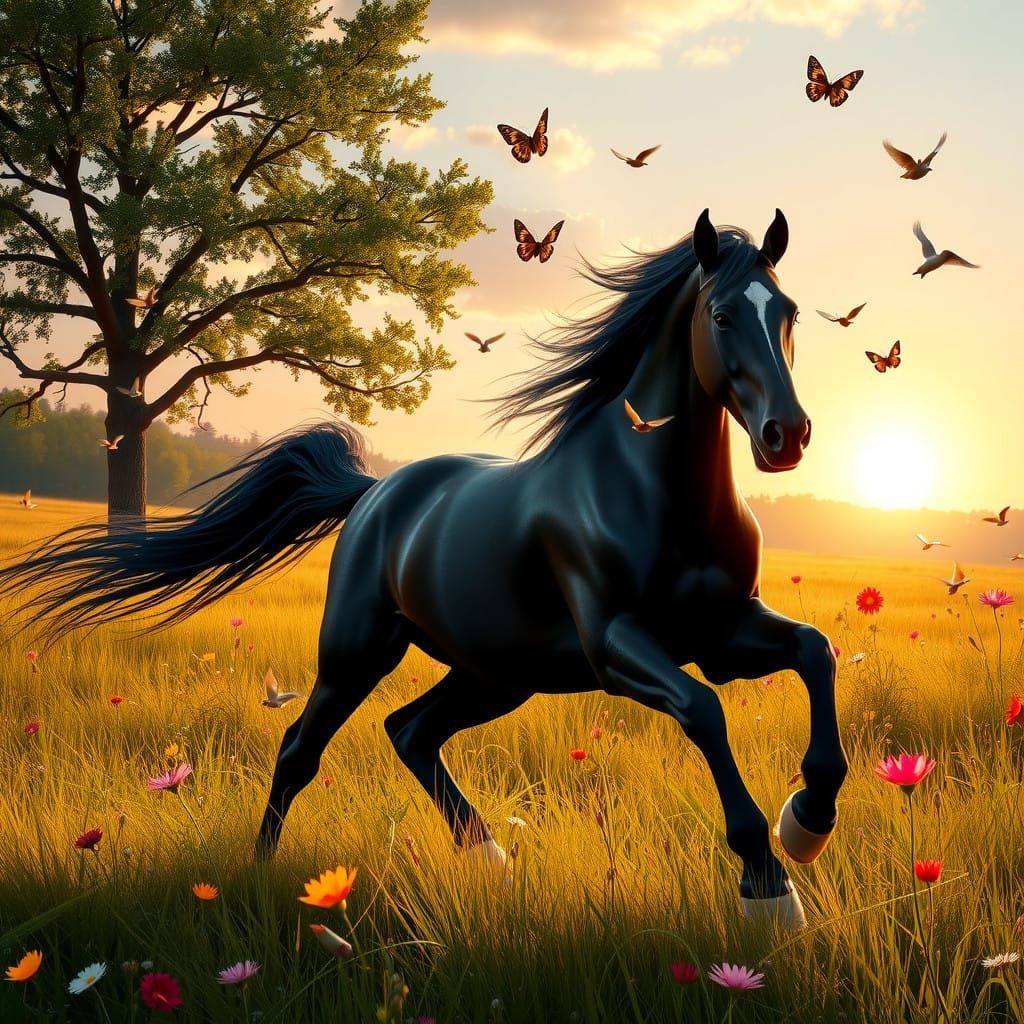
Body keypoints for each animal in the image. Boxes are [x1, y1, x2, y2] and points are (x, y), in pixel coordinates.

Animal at [2, 208, 847, 931]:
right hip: (357, 655)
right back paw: (259, 875)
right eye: (722, 315)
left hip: (498, 674)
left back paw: (488, 857)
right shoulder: (618, 644)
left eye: (788, 313)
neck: (651, 492)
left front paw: (806, 823)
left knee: (409, 731)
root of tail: (374, 491)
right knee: (301, 750)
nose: (788, 434)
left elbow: (814, 652)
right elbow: (704, 710)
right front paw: (769, 885)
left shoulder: (723, 632)